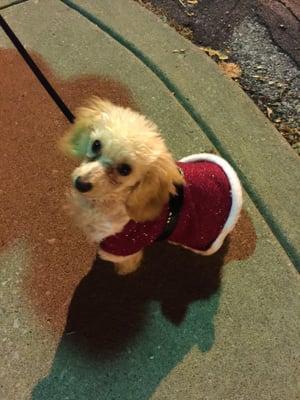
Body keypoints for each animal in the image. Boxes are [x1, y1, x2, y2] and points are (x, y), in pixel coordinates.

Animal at [61, 98, 241, 276]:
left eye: (125, 169)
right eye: (96, 145)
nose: (81, 184)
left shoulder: (124, 245)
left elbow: (125, 262)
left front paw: (123, 270)